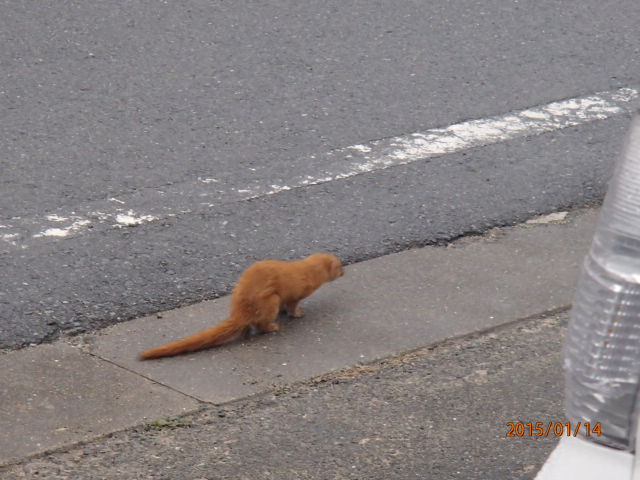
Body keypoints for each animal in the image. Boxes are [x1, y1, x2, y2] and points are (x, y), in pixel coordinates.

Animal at [138, 253, 342, 358]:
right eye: (340, 266)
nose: (344, 272)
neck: (305, 271)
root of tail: (240, 309)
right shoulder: (295, 292)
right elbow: (292, 305)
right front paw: (298, 313)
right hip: (270, 299)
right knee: (261, 323)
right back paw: (273, 326)